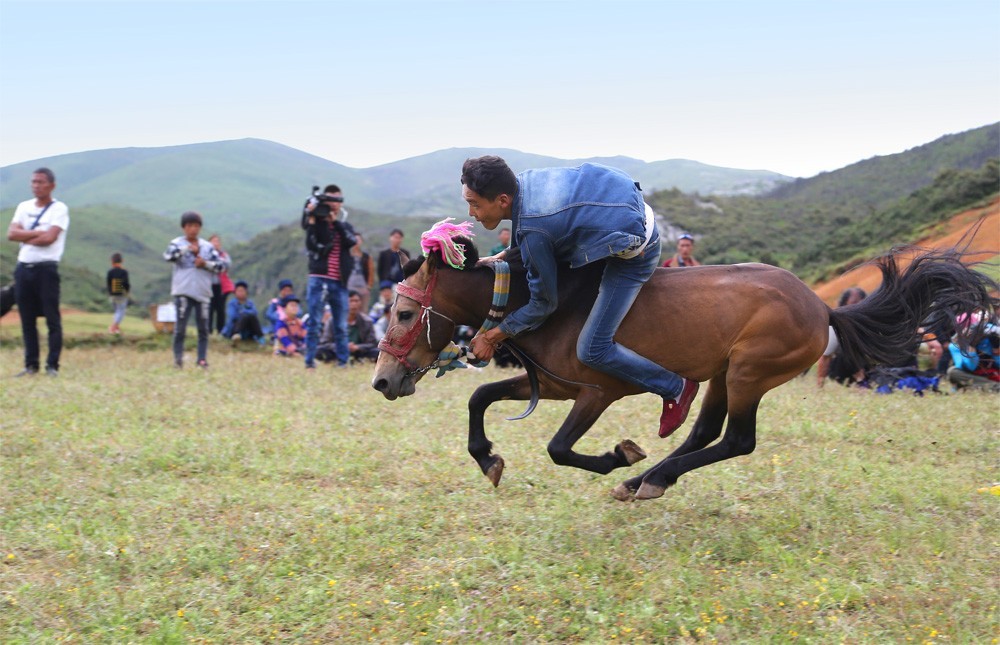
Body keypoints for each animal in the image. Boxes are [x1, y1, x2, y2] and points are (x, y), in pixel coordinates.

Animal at [374, 234, 992, 500]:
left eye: (403, 312)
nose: (383, 380)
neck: (549, 300)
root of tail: (823, 308)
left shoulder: (595, 391)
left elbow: (558, 448)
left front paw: (617, 456)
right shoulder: (548, 383)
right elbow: (479, 399)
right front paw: (488, 459)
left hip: (748, 372)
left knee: (736, 439)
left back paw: (646, 477)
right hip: (724, 373)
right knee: (705, 430)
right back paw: (647, 480)